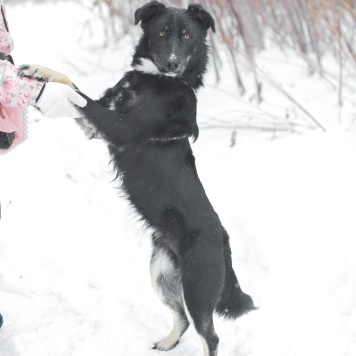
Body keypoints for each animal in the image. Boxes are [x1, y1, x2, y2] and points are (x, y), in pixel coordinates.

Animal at [19, 1, 254, 354]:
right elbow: (73, 85)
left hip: (198, 288)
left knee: (209, 335)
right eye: (162, 33)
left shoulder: (120, 129)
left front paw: (49, 92)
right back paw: (167, 343)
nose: (172, 63)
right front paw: (38, 71)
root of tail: (223, 241)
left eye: (187, 36)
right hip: (162, 276)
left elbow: (79, 99)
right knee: (182, 319)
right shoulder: (96, 125)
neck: (157, 80)